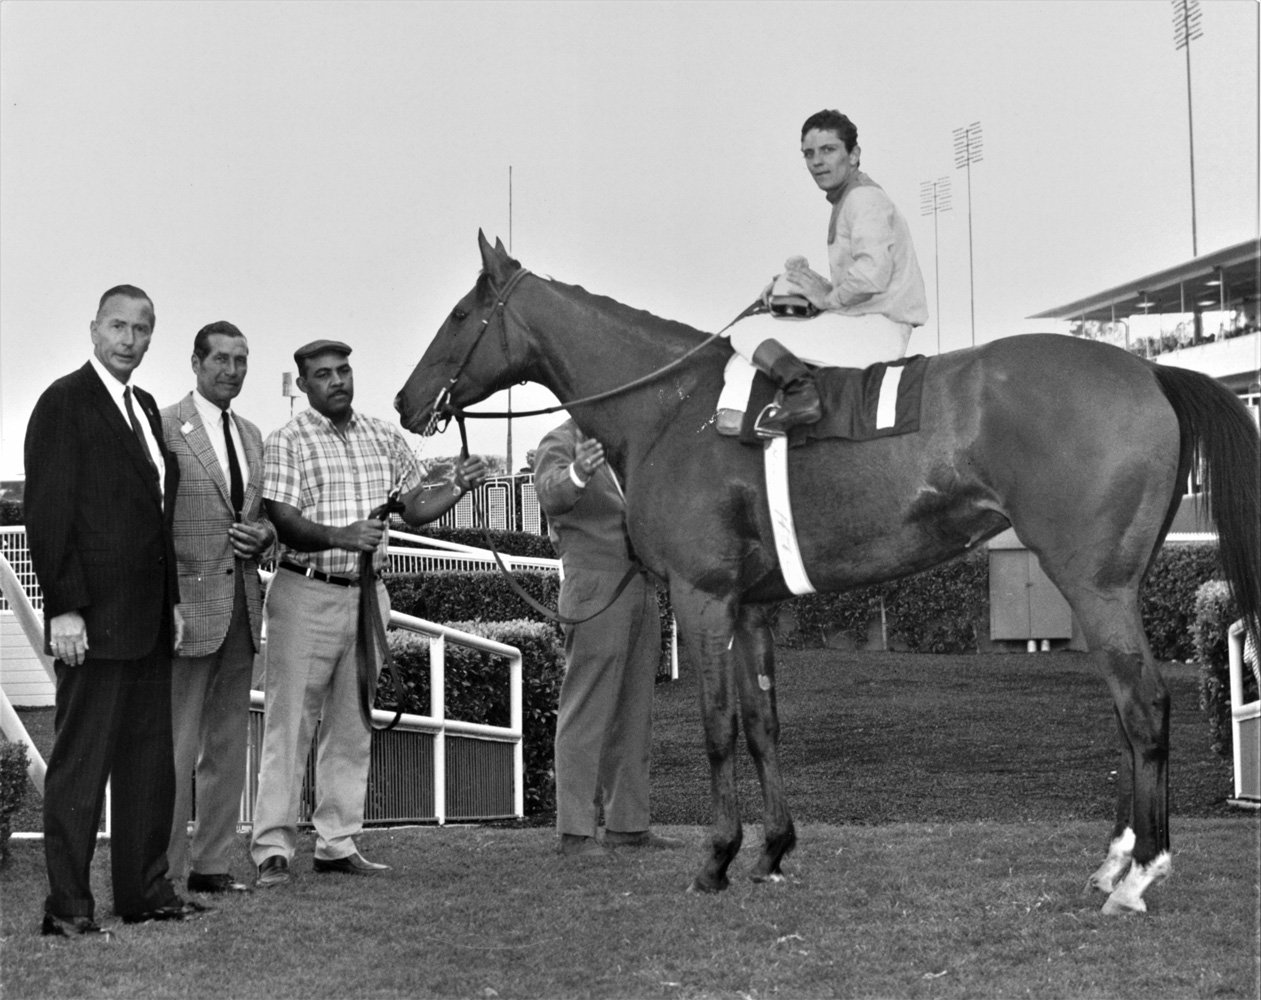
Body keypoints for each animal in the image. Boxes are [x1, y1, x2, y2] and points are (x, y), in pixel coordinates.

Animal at [395, 234, 1261, 912]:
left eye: (460, 316)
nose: (407, 401)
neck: (671, 411)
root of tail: (1149, 372)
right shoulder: (752, 607)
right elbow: (762, 724)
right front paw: (772, 849)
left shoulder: (704, 598)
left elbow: (716, 727)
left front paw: (715, 857)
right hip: (1112, 584)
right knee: (1124, 709)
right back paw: (1113, 861)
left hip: (1092, 582)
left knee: (1144, 706)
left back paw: (1138, 874)